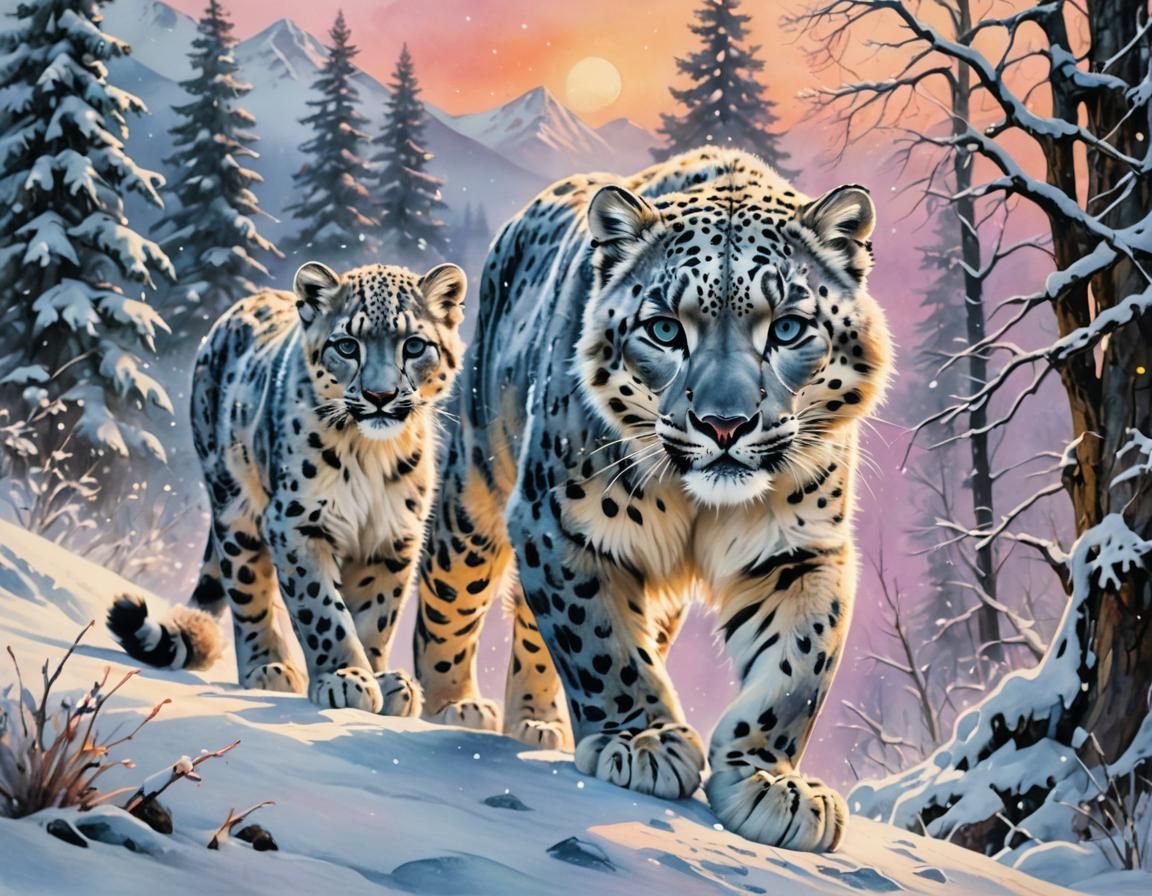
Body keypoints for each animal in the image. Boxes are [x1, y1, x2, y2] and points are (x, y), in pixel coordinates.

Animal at [108, 260, 466, 715]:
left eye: (415, 345)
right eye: (347, 346)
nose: (380, 396)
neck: (372, 452)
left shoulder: (392, 537)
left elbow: (376, 615)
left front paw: (383, 681)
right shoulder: (298, 522)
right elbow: (322, 609)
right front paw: (345, 677)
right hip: (235, 507)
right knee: (246, 587)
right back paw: (268, 667)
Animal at [412, 148, 892, 851]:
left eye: (788, 328)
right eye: (665, 329)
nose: (725, 424)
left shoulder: (802, 548)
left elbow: (799, 667)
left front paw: (768, 781)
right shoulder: (561, 522)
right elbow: (600, 642)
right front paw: (642, 742)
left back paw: (535, 722)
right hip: (474, 492)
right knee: (450, 594)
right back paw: (453, 707)